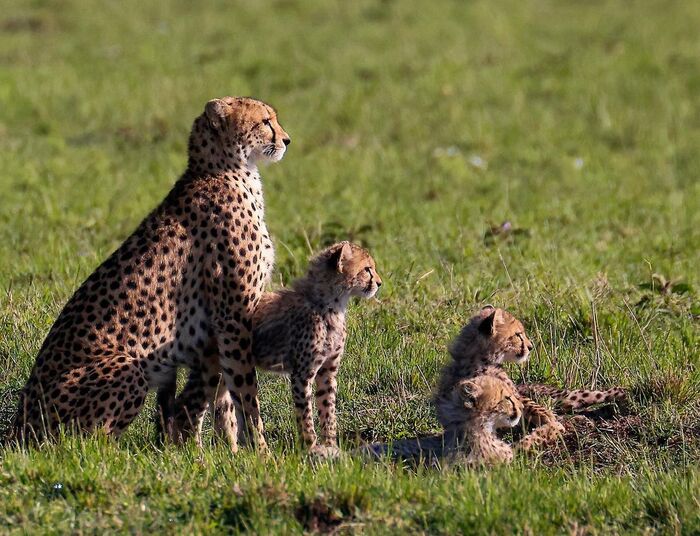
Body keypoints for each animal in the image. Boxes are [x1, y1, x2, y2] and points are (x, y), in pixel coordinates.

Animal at [13, 95, 292, 448]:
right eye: (265, 121)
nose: (286, 140)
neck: (224, 169)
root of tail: (18, 425)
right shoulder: (233, 315)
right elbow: (244, 390)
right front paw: (260, 452)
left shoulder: (220, 327)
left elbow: (224, 397)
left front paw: (231, 452)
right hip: (127, 368)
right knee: (85, 443)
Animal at [159, 243, 382, 456]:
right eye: (367, 269)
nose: (379, 283)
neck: (329, 303)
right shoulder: (302, 374)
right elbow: (305, 415)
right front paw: (310, 447)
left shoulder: (328, 372)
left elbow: (328, 412)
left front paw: (330, 447)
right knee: (188, 404)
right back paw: (194, 454)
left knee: (187, 403)